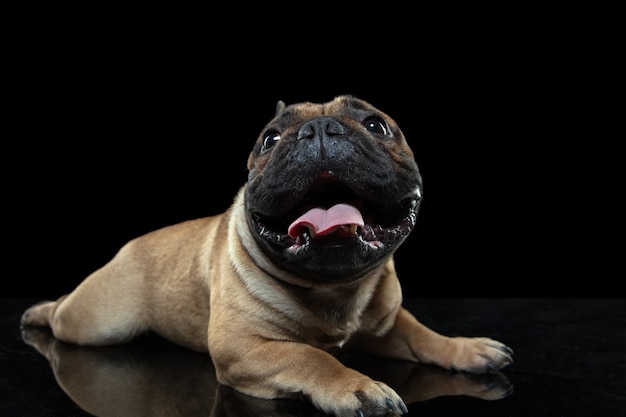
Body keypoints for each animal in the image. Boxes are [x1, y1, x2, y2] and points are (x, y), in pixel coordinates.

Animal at [23, 95, 512, 416]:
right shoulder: (242, 347)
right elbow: (309, 357)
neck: (335, 287)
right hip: (94, 324)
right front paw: (355, 386)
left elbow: (424, 336)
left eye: (376, 125)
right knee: (64, 313)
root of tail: (130, 247)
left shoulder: (387, 324)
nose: (319, 129)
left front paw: (468, 348)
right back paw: (39, 312)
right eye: (269, 139)